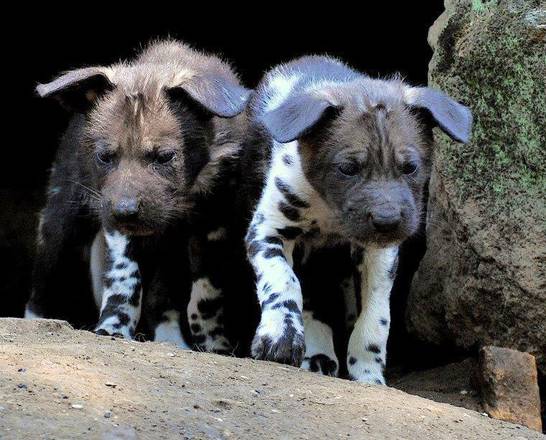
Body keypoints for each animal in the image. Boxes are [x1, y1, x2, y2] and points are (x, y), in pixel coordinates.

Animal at [24, 39, 248, 352]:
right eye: (105, 157)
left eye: (164, 157)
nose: (126, 210)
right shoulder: (113, 217)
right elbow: (124, 279)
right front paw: (112, 328)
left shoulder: (214, 227)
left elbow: (205, 296)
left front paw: (214, 345)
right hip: (62, 220)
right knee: (43, 282)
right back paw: (35, 321)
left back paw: (171, 340)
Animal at [240, 55, 470, 382]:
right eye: (347, 169)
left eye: (410, 167)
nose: (387, 220)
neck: (328, 211)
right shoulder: (268, 231)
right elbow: (283, 281)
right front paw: (280, 336)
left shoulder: (379, 254)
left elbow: (375, 318)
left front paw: (368, 373)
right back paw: (318, 355)